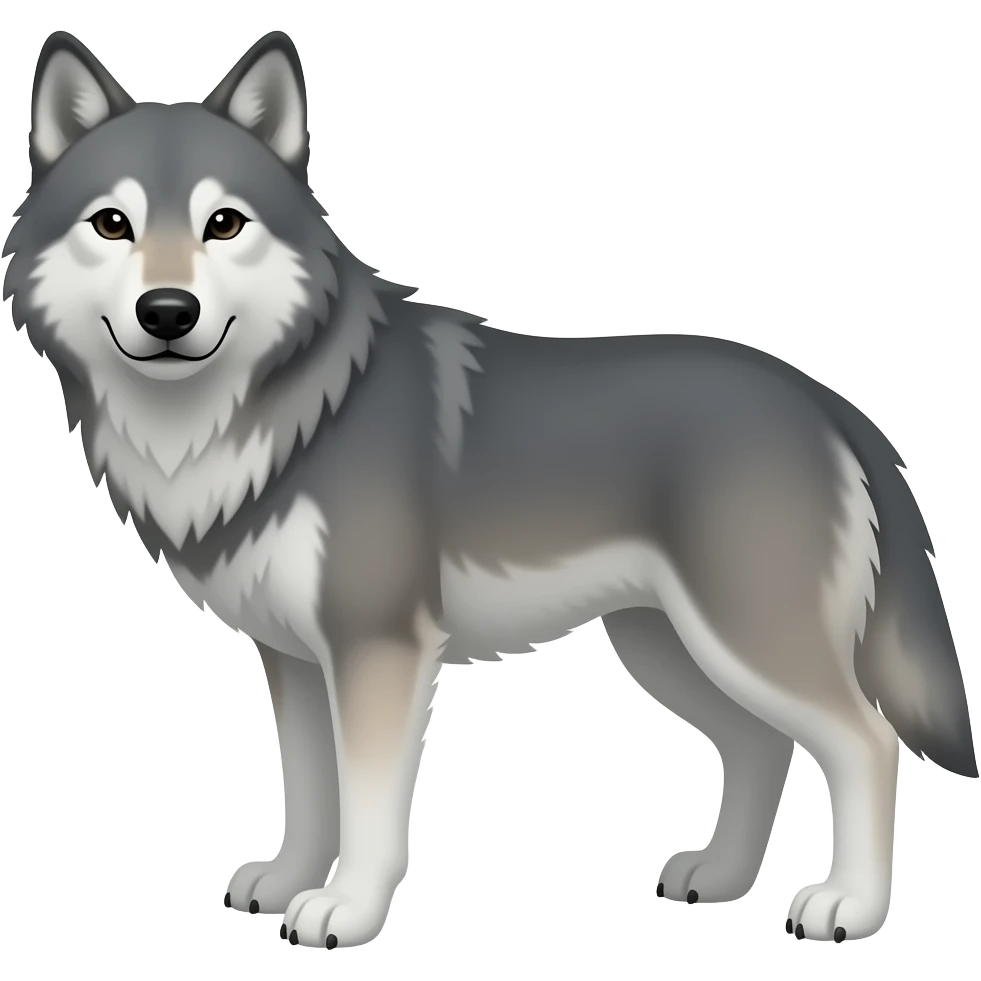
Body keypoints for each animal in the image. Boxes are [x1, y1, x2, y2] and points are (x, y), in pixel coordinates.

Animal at [3, 28, 976, 950]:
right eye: (112, 223)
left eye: (225, 224)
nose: (168, 312)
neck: (281, 410)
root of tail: (826, 401)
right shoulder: (294, 659)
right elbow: (310, 792)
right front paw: (285, 882)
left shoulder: (378, 648)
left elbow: (368, 808)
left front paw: (344, 911)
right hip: (669, 648)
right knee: (762, 743)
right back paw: (722, 876)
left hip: (740, 640)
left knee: (865, 742)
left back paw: (848, 905)